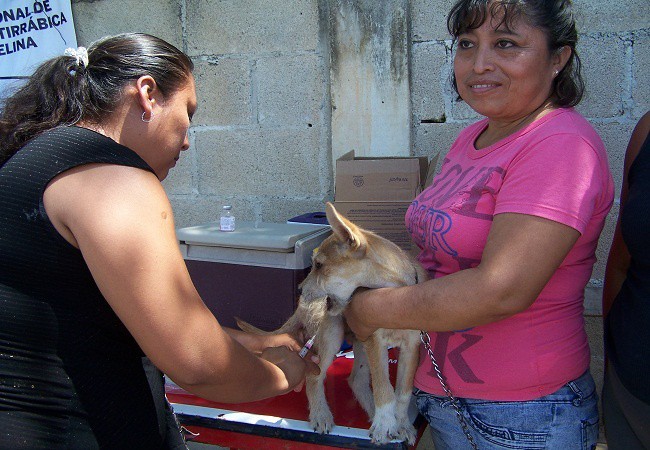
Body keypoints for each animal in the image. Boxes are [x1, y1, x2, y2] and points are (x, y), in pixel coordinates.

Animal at [238, 202, 426, 444]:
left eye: (318, 265)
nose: (299, 290)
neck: (393, 299)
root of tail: (300, 308)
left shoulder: (411, 346)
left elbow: (402, 392)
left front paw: (401, 424)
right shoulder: (375, 342)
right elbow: (384, 389)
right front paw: (385, 424)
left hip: (359, 342)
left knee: (356, 380)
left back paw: (371, 410)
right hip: (331, 335)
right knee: (314, 376)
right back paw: (321, 414)